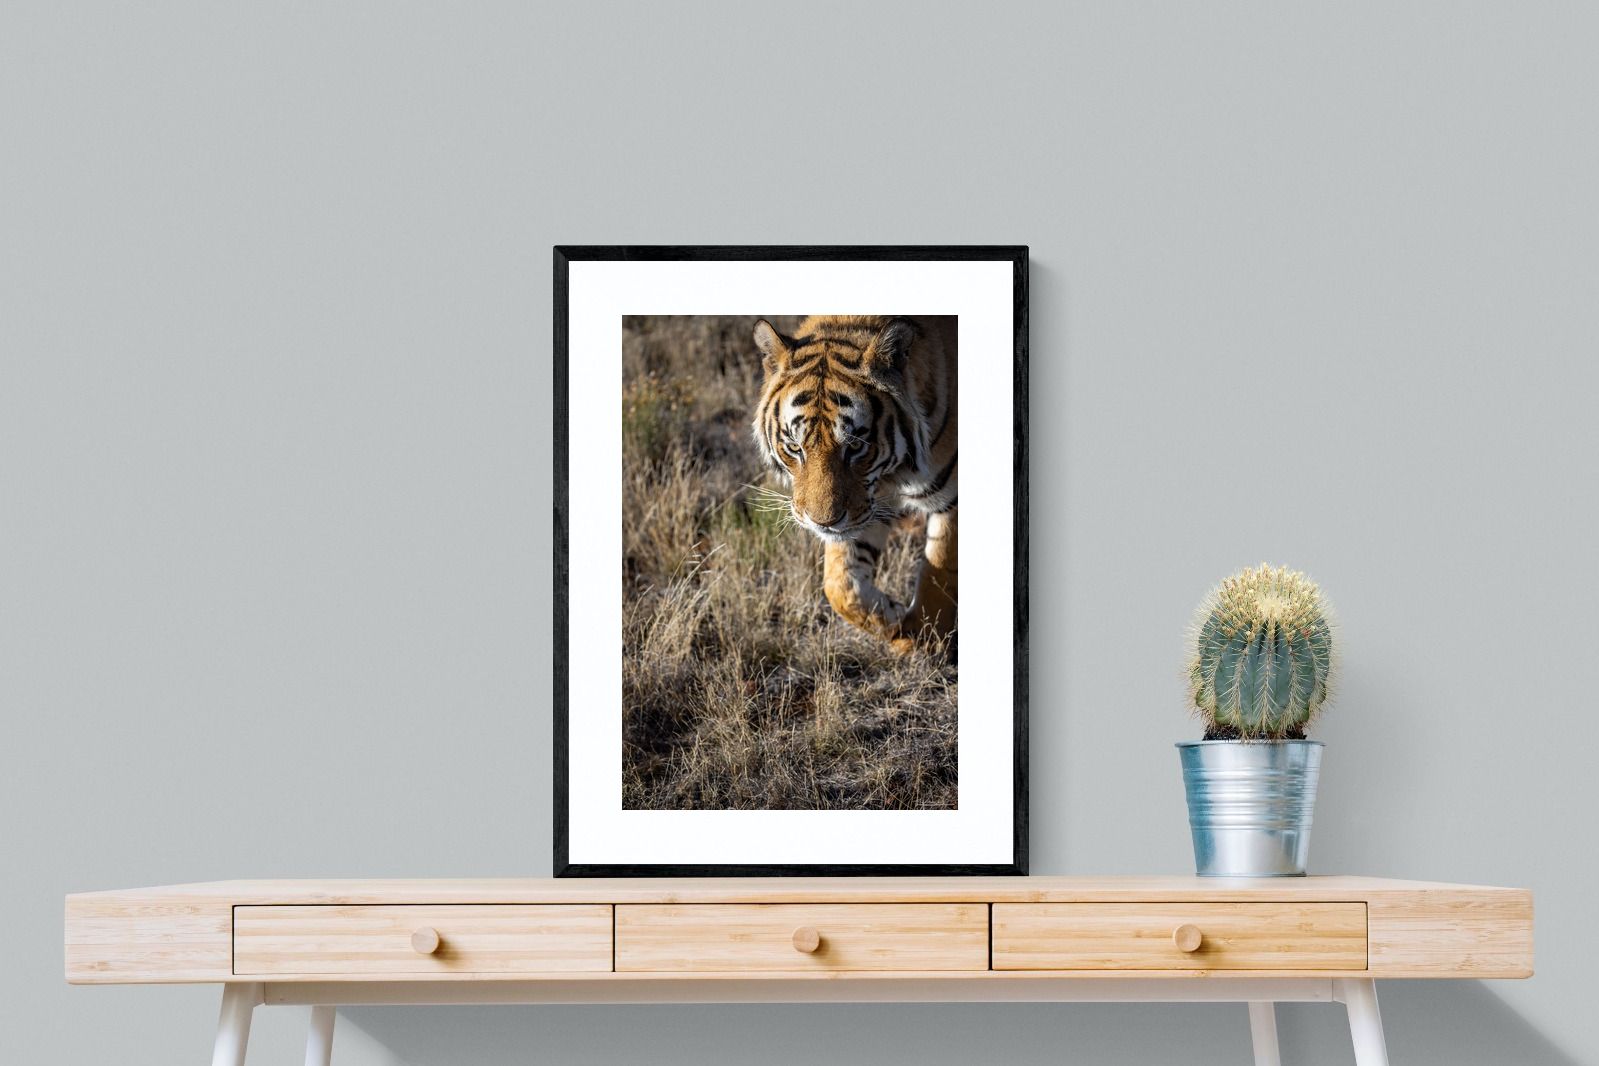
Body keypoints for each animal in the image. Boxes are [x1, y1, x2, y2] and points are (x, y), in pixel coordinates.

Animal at [751, 315, 957, 652]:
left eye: (856, 445)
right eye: (795, 447)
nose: (822, 522)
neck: (892, 474)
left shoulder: (951, 499)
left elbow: (938, 570)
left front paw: (926, 640)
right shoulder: (866, 507)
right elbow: (840, 585)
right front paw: (895, 620)